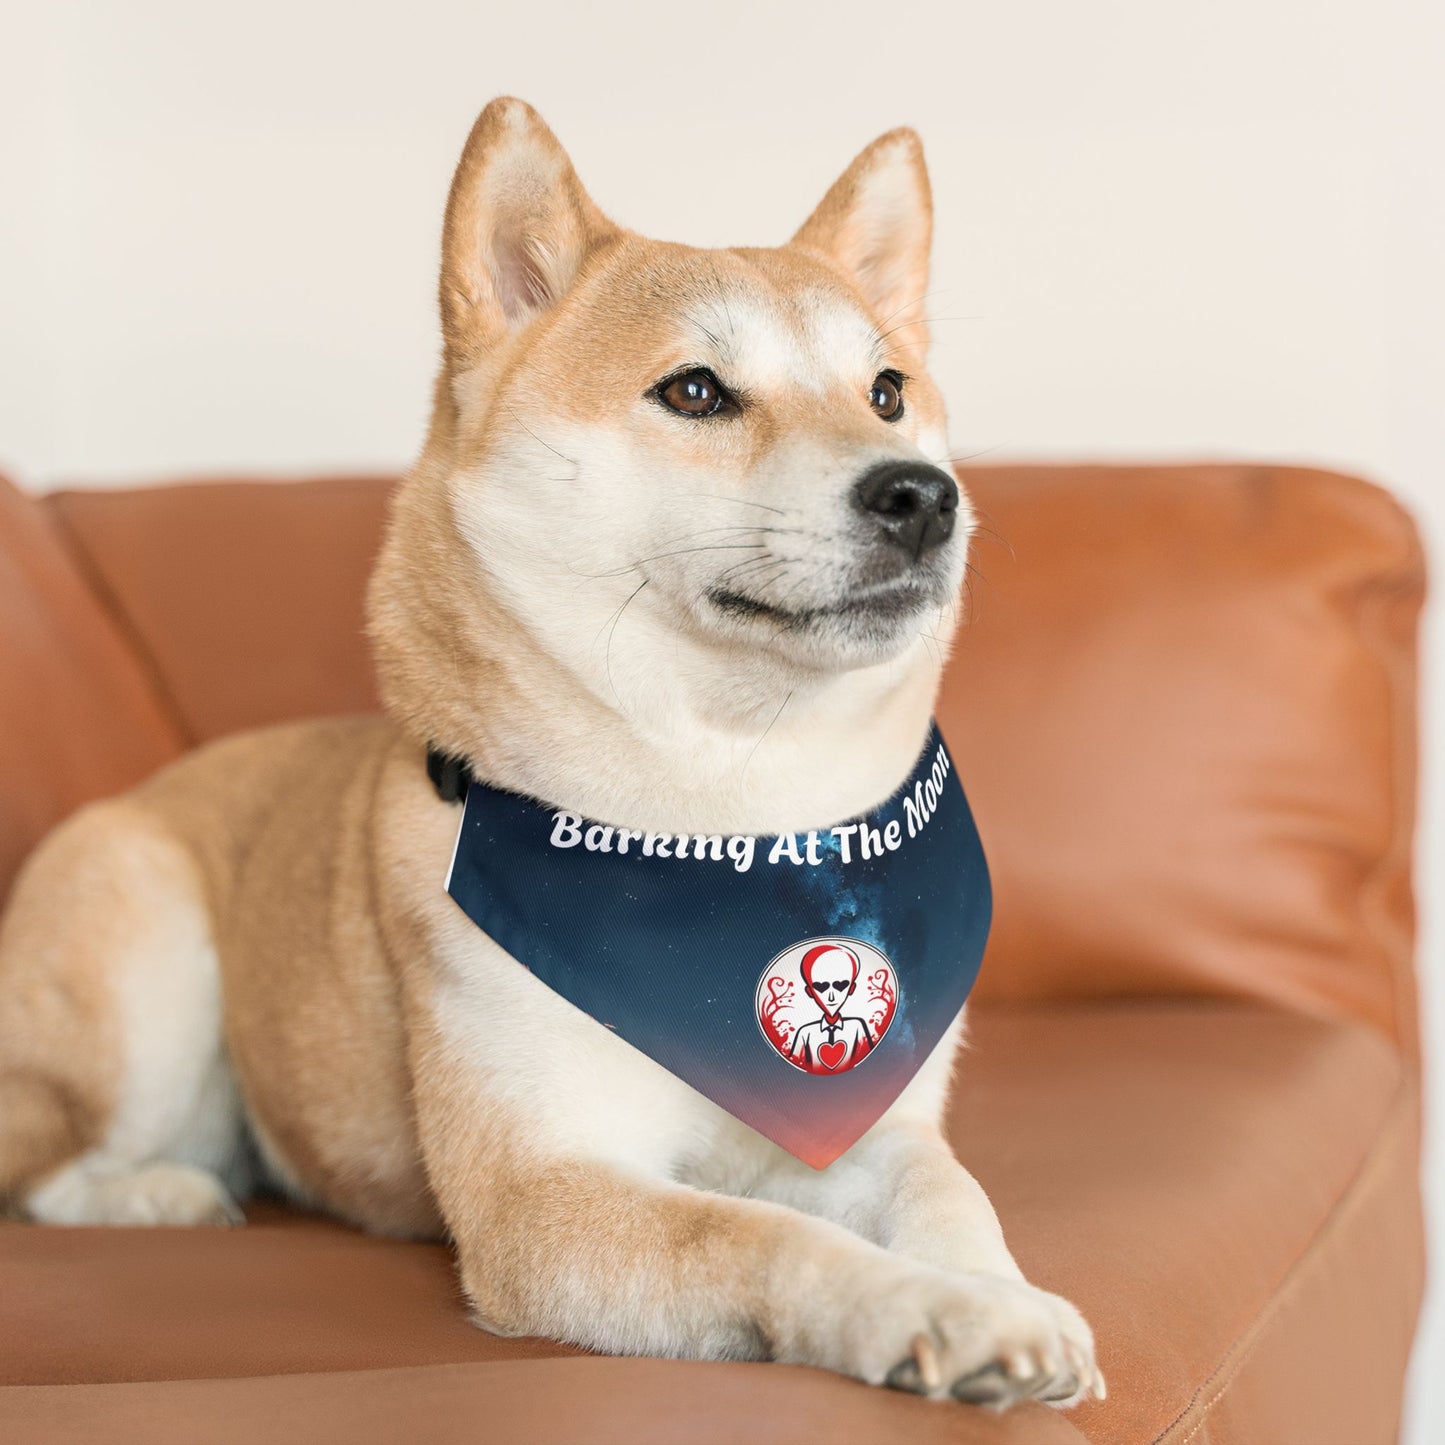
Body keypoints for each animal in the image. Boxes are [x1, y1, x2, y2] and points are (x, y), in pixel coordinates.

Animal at [0, 96, 1098, 1404]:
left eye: (886, 390)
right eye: (694, 391)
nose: (923, 495)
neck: (731, 826)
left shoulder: (873, 1119)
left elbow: (948, 1191)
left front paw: (1001, 1292)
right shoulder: (541, 1192)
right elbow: (765, 1235)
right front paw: (928, 1307)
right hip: (145, 963)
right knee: (48, 1165)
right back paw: (162, 1192)